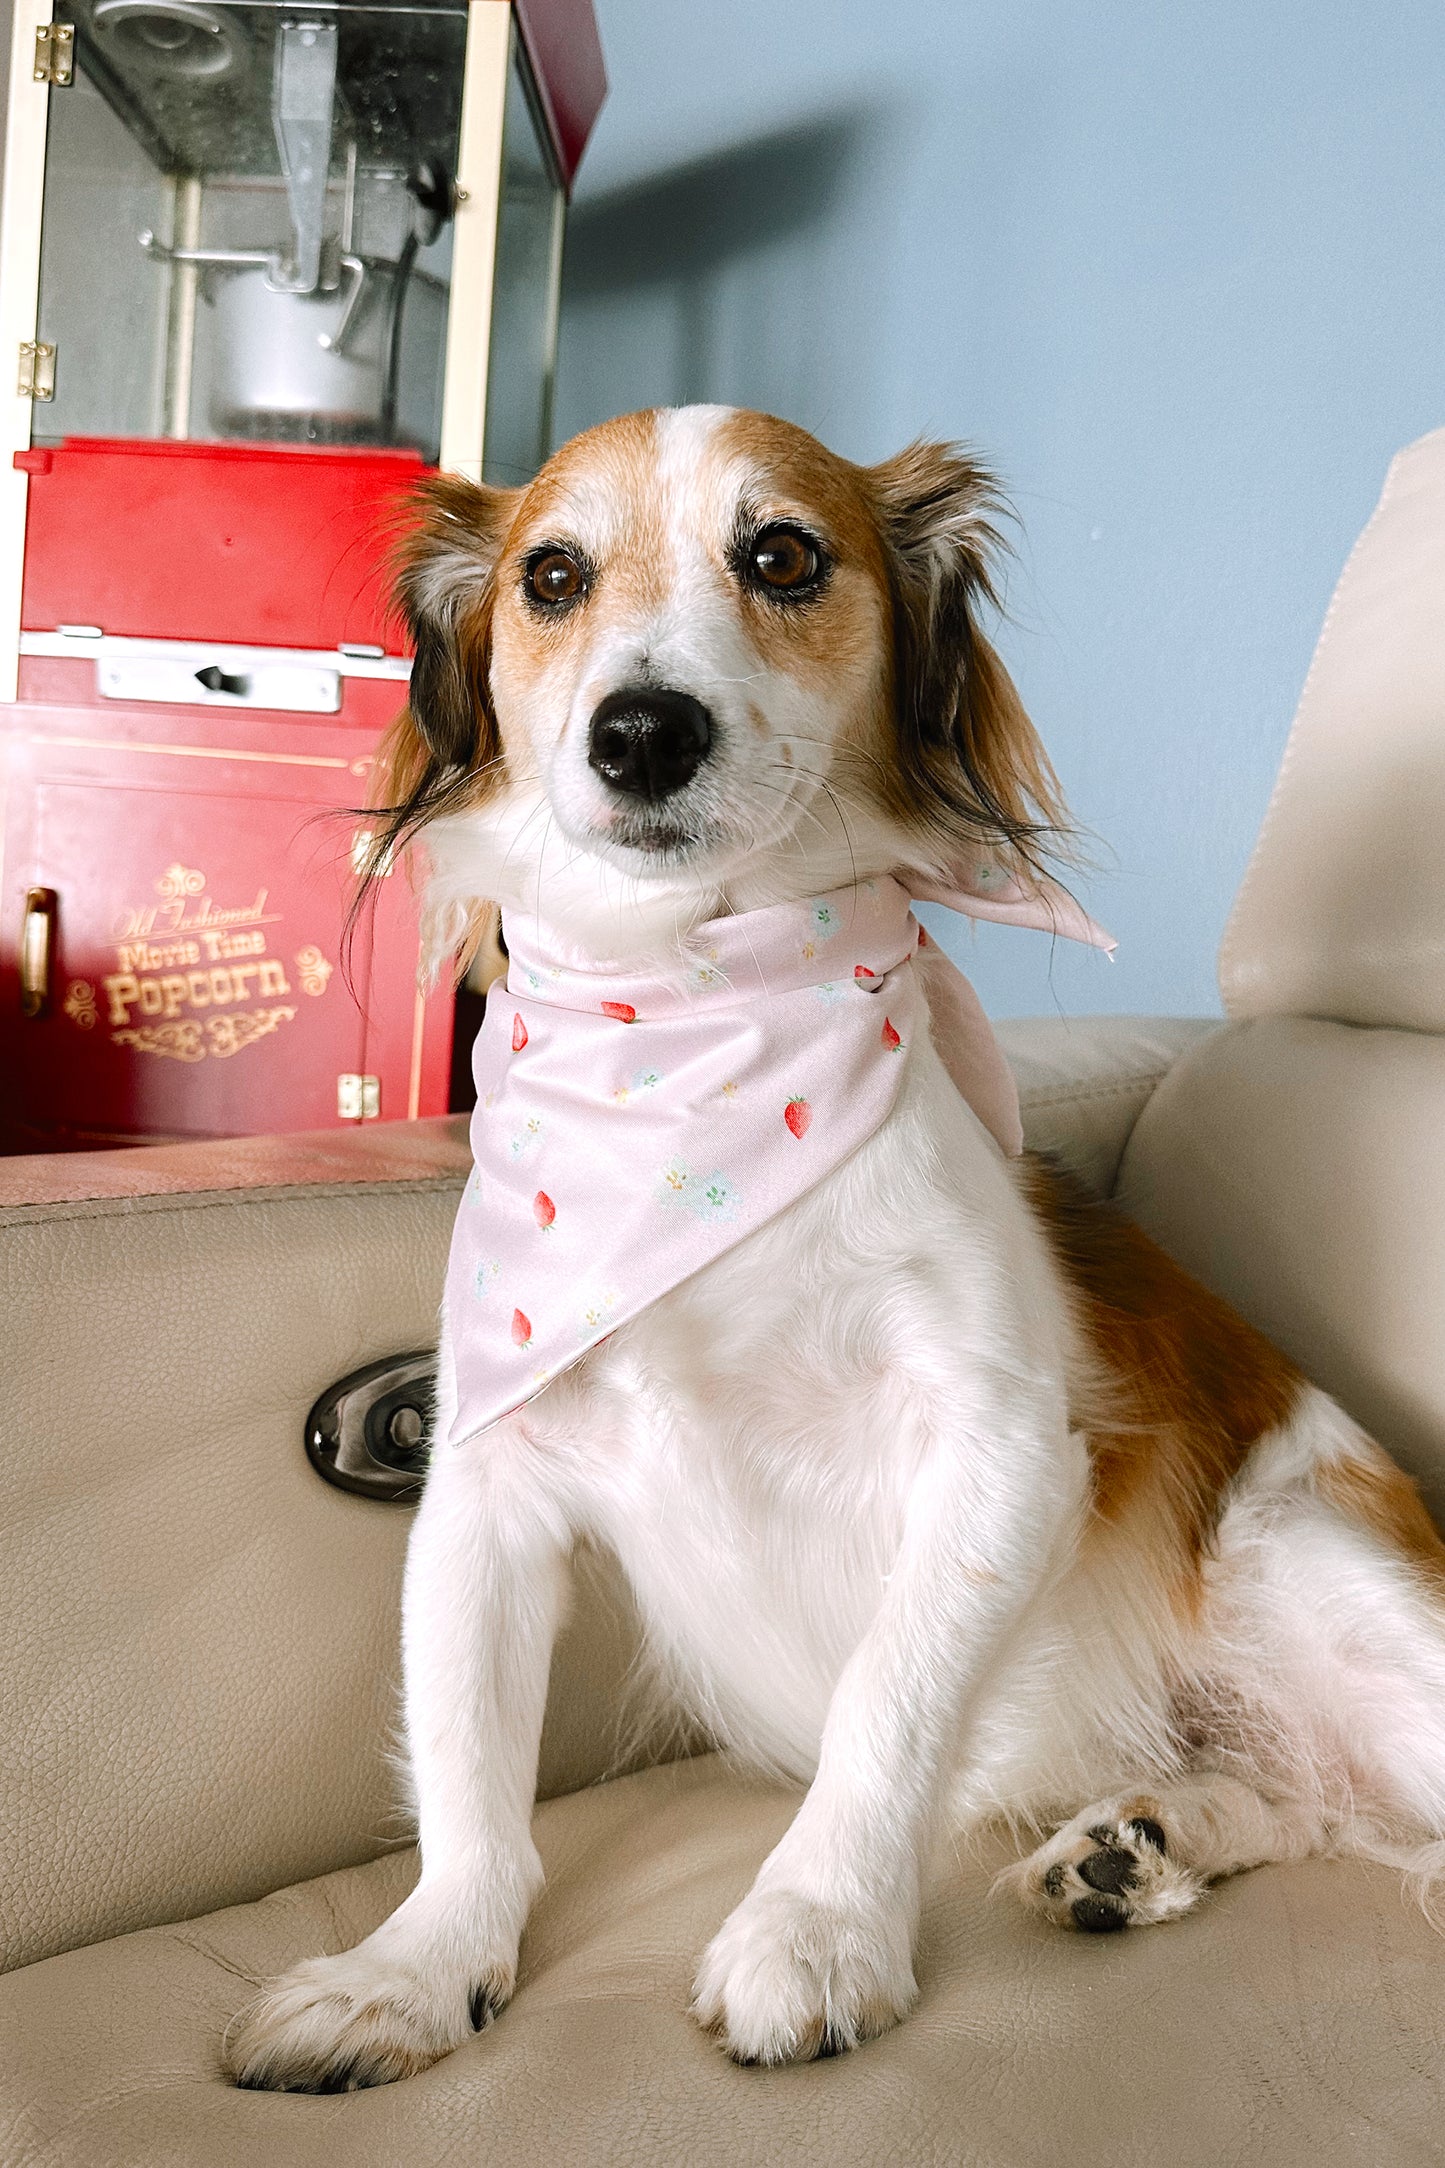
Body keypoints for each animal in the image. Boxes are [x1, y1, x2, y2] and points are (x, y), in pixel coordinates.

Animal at [228, 407, 1445, 2081]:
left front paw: (815, 1930)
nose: (641, 733)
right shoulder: (489, 1479)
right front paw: (413, 1968)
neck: (691, 1028)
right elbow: (471, 1771)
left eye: (784, 554)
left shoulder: (999, 1448)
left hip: (1313, 1565)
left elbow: (887, 1701)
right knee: (1304, 1807)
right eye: (552, 576)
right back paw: (1135, 1844)